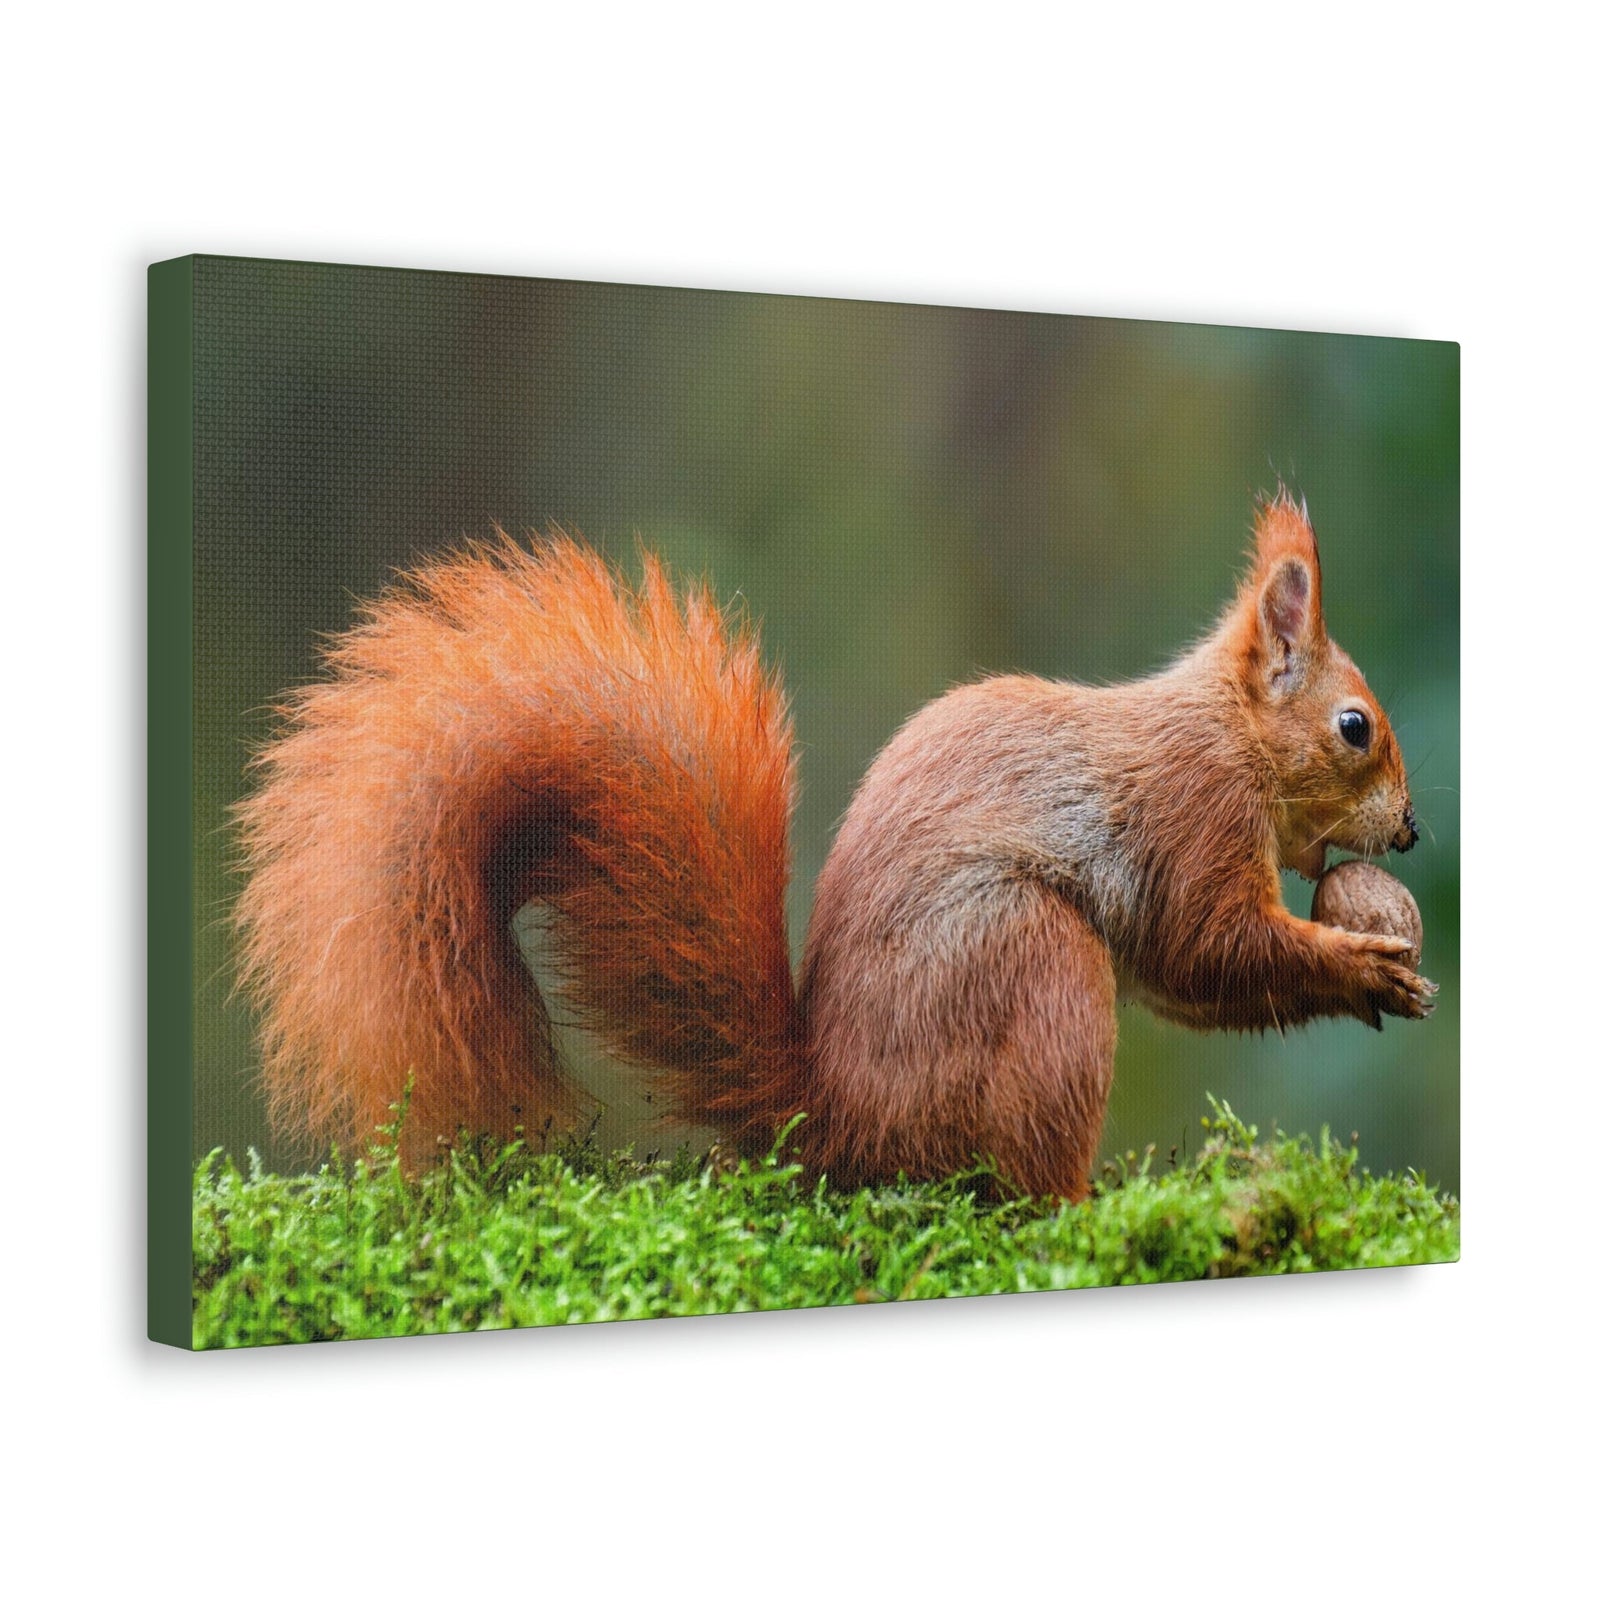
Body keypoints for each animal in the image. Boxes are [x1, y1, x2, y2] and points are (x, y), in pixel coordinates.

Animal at [234, 489, 1434, 1200]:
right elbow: (1209, 946)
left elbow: (1192, 979)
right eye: (1354, 727)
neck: (1227, 735)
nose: (1414, 829)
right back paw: (1079, 1208)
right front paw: (1361, 964)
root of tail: (832, 1117)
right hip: (1026, 959)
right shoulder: (1192, 819)